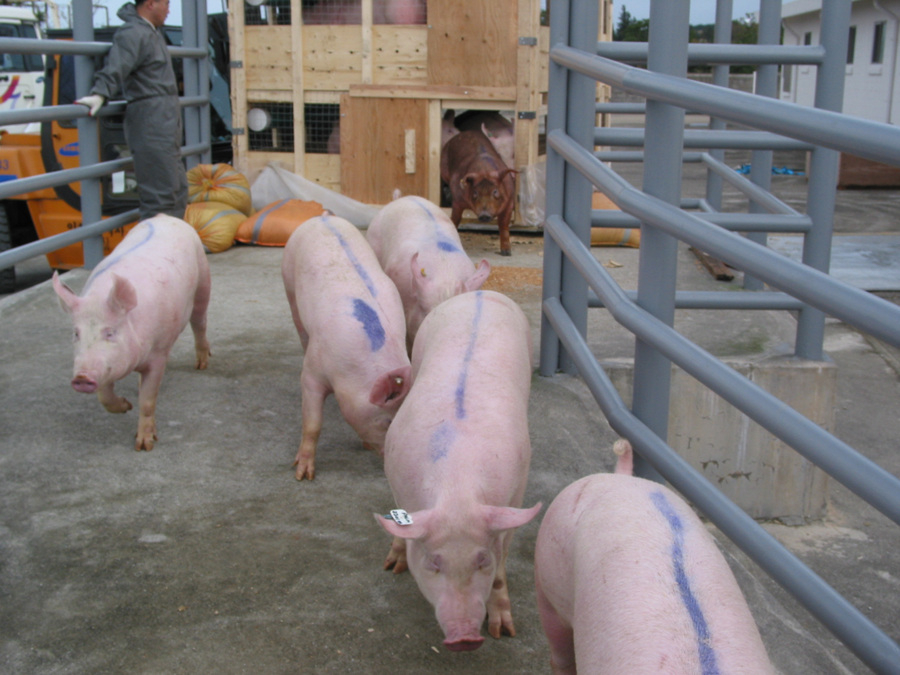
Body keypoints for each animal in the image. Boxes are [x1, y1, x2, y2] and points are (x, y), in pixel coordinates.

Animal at [52, 214, 213, 452]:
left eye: (110, 332)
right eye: (76, 333)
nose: (81, 377)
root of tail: (165, 217)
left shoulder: (158, 354)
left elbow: (147, 400)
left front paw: (144, 446)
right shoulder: (106, 365)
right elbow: (104, 395)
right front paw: (126, 406)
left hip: (203, 281)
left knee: (199, 322)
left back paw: (202, 365)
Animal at [282, 214, 412, 484]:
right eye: (387, 422)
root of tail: (321, 217)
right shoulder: (313, 373)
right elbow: (313, 423)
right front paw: (303, 475)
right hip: (288, 281)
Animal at [374, 294, 540, 652]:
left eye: (482, 560)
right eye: (434, 562)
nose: (464, 638)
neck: (456, 489)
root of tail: (479, 295)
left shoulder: (517, 488)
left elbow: (503, 565)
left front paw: (504, 632)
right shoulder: (394, 474)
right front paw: (393, 567)